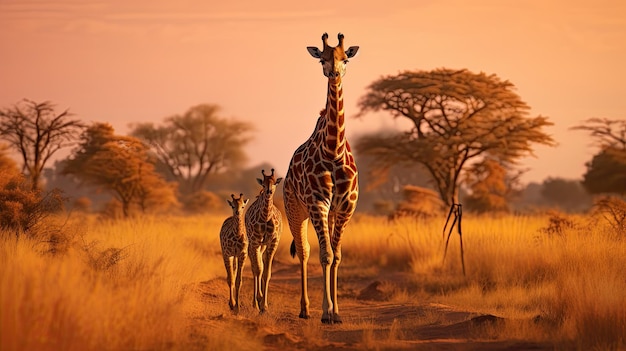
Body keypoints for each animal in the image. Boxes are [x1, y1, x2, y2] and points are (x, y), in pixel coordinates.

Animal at [244, 170, 282, 314]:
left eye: (275, 182)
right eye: (263, 183)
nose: (268, 191)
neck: (265, 216)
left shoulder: (273, 242)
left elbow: (267, 273)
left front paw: (264, 306)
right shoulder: (254, 242)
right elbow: (258, 269)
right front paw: (258, 301)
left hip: (262, 246)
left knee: (260, 263)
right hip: (253, 244)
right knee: (255, 268)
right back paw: (255, 302)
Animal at [284, 33, 360, 324]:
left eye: (345, 58)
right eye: (322, 59)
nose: (334, 73)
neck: (333, 150)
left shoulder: (345, 207)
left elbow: (337, 256)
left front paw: (337, 312)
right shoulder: (317, 204)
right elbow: (325, 255)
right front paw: (326, 312)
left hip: (327, 214)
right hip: (295, 209)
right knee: (304, 251)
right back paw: (305, 309)